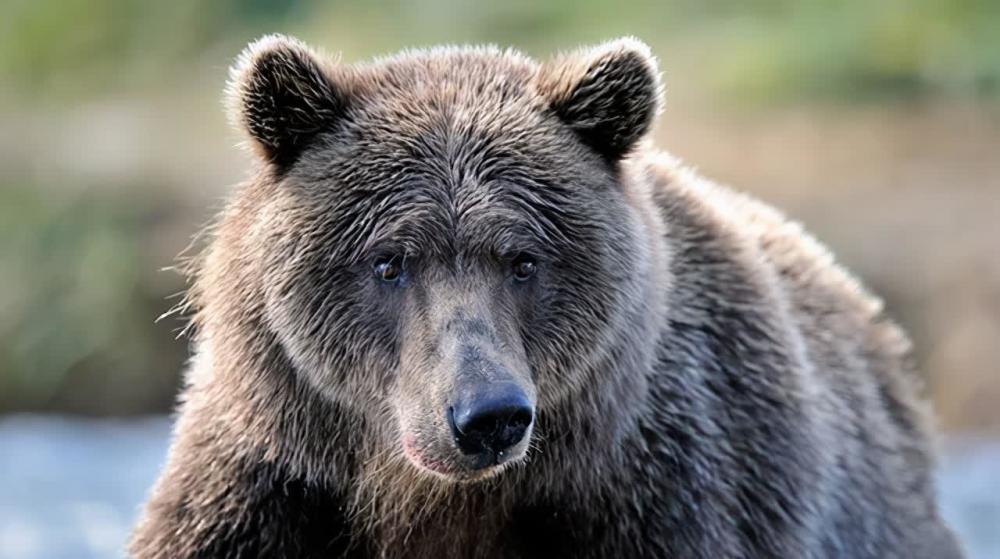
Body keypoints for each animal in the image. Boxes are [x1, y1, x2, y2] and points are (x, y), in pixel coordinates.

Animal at [130, 35, 963, 559]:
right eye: (390, 260)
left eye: (523, 259)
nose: (487, 414)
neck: (427, 498)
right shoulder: (267, 486)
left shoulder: (659, 491)